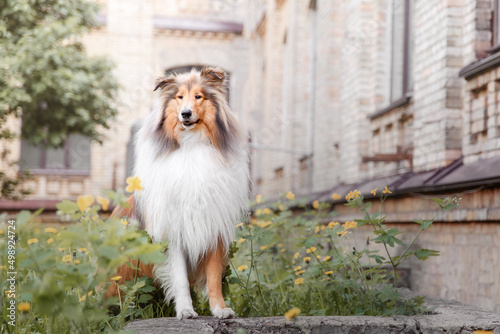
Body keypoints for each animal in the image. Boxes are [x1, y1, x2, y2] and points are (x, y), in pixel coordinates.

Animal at [110, 66, 250, 320]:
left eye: (198, 96)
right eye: (179, 97)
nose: (186, 114)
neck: (191, 145)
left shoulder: (213, 229)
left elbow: (214, 278)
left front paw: (220, 309)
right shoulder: (172, 233)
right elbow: (179, 278)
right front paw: (185, 310)